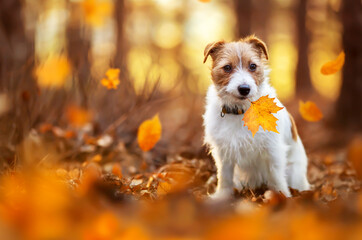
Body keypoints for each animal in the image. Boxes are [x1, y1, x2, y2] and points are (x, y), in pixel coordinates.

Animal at [202, 34, 310, 199]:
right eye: (227, 67)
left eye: (253, 66)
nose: (244, 89)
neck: (242, 111)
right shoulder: (224, 152)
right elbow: (225, 177)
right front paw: (222, 197)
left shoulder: (273, 150)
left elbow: (276, 176)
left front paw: (282, 196)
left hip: (293, 172)